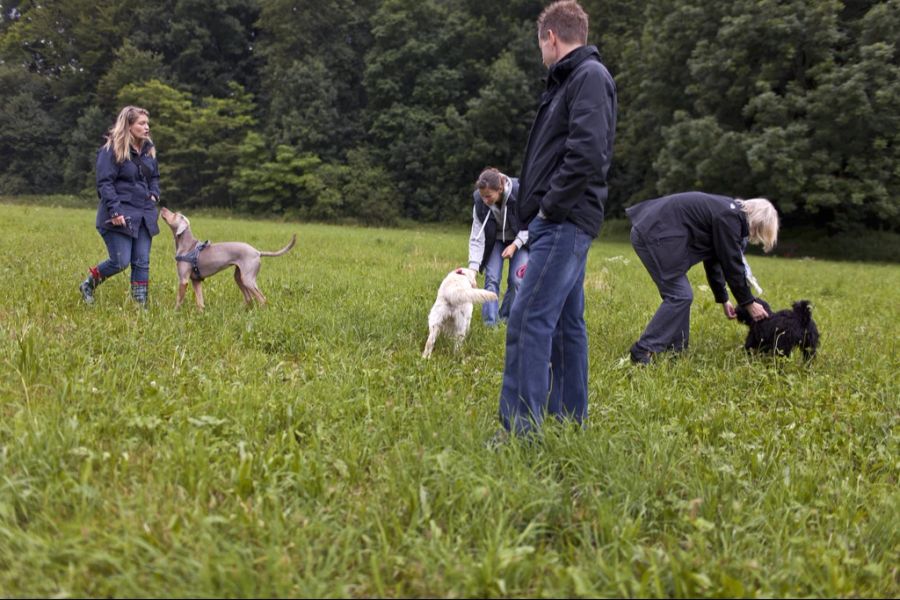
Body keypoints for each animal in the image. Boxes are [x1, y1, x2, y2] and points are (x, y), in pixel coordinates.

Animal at [156, 206, 294, 310]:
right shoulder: (196, 281)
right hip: (239, 277)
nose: (162, 207)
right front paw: (200, 315)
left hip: (248, 279)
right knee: (249, 298)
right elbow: (200, 302)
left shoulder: (183, 280)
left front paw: (174, 313)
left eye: (175, 214)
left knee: (262, 298)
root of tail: (257, 252)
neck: (188, 246)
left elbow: (179, 300)